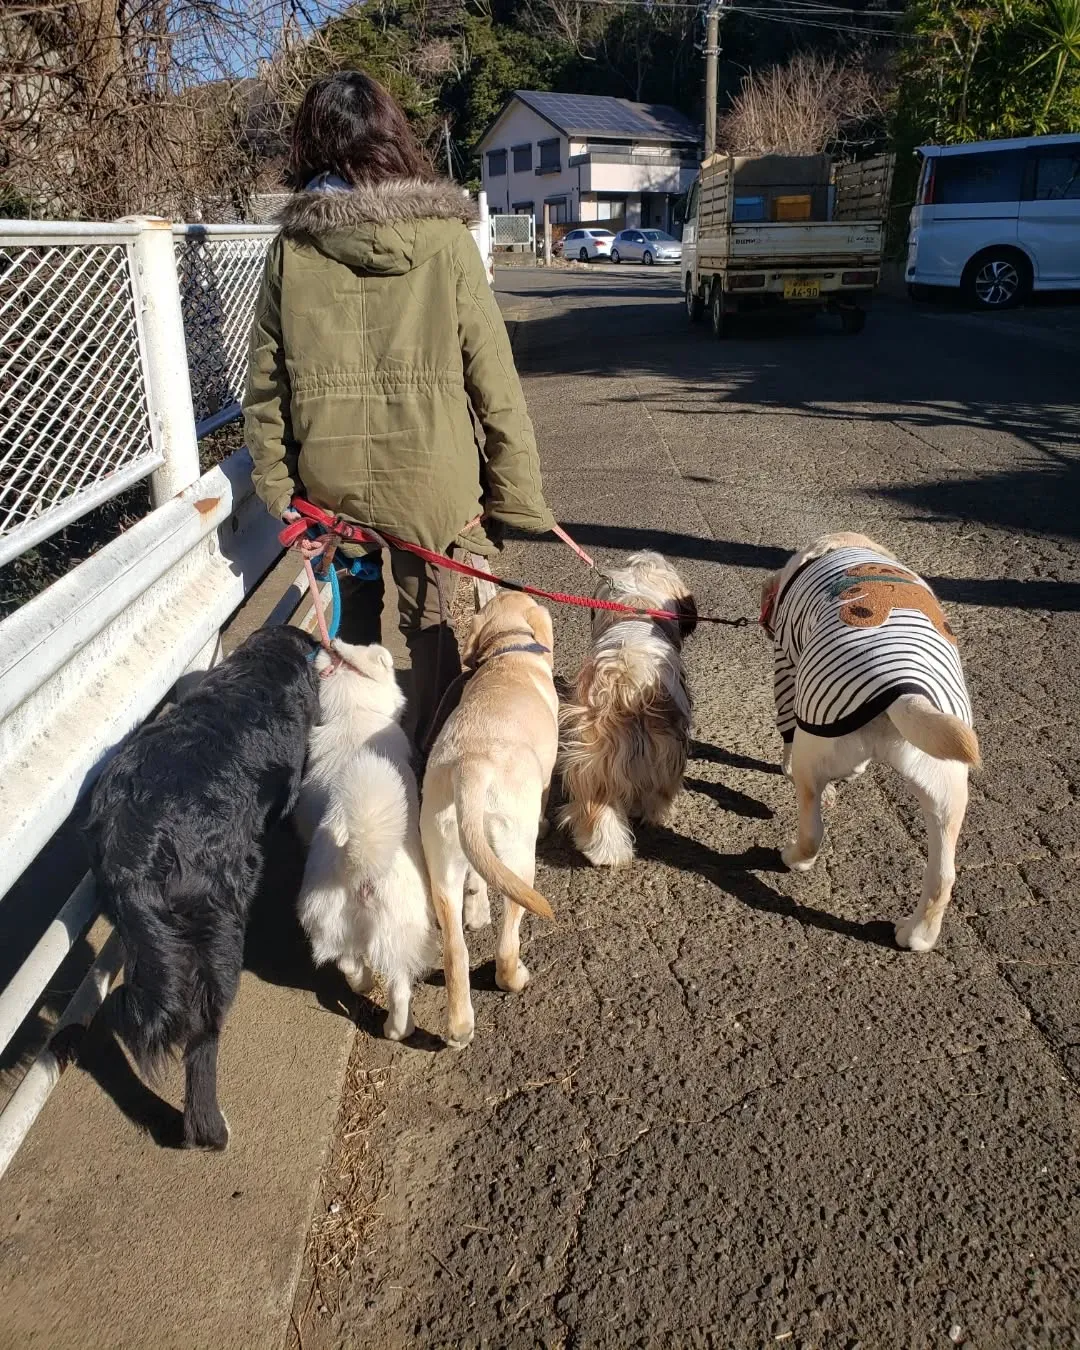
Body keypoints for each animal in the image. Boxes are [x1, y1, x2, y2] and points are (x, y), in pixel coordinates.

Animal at [292, 637, 437, 1036]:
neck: (353, 714)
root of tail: (359, 868)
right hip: (404, 929)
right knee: (400, 987)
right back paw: (399, 1030)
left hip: (329, 925)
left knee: (349, 965)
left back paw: (365, 990)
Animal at [418, 596, 561, 1047]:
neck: (508, 652)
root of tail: (472, 765)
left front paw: (477, 905)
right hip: (519, 858)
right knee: (505, 943)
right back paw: (514, 978)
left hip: (442, 854)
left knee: (455, 949)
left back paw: (460, 1027)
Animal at [556, 553, 702, 869]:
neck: (637, 608)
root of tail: (624, 680)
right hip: (666, 752)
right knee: (657, 792)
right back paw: (653, 816)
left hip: (592, 757)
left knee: (598, 806)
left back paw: (605, 853)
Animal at [761, 531, 977, 955]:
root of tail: (902, 690)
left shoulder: (787, 670)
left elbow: (786, 734)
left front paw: (784, 764)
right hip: (946, 787)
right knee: (943, 876)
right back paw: (917, 935)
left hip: (814, 744)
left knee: (812, 831)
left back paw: (793, 857)